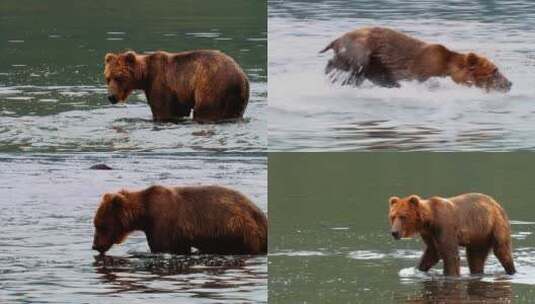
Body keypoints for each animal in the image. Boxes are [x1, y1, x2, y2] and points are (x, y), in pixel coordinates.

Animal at [93, 185, 268, 254]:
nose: (95, 246)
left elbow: (161, 246)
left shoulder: (162, 223)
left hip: (236, 227)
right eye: (96, 224)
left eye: (101, 225)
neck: (145, 215)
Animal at [104, 50, 251, 122]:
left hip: (212, 86)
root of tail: (241, 77)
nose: (111, 97)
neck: (145, 76)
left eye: (119, 77)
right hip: (237, 98)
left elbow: (162, 111)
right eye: (108, 78)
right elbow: (178, 111)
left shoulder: (159, 84)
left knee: (204, 110)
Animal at [320, 26, 512, 91]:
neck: (446, 68)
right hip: (362, 47)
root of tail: (337, 39)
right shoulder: (421, 68)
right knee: (356, 63)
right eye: (495, 71)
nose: (510, 83)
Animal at [388, 194, 516, 276]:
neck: (429, 221)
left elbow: (450, 255)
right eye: (392, 216)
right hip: (479, 235)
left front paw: (449, 274)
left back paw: (511, 271)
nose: (394, 232)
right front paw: (418, 269)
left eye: (403, 216)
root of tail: (496, 203)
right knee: (475, 257)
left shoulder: (445, 226)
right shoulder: (429, 234)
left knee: (502, 250)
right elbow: (432, 252)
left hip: (495, 225)